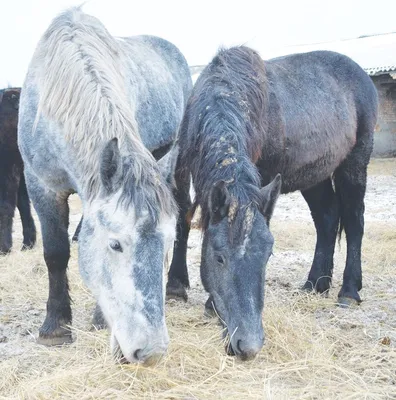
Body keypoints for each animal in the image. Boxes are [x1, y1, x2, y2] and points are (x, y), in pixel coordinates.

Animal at [18, 8, 192, 366]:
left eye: (165, 244)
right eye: (115, 245)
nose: (151, 352)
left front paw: (98, 320)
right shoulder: (41, 185)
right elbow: (55, 252)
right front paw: (55, 327)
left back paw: (177, 286)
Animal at [166, 46, 378, 360]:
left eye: (268, 256)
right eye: (219, 257)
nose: (249, 344)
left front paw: (207, 304)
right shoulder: (183, 168)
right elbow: (183, 219)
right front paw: (175, 287)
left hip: (355, 162)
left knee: (353, 222)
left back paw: (349, 292)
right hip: (314, 178)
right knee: (327, 219)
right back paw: (315, 284)